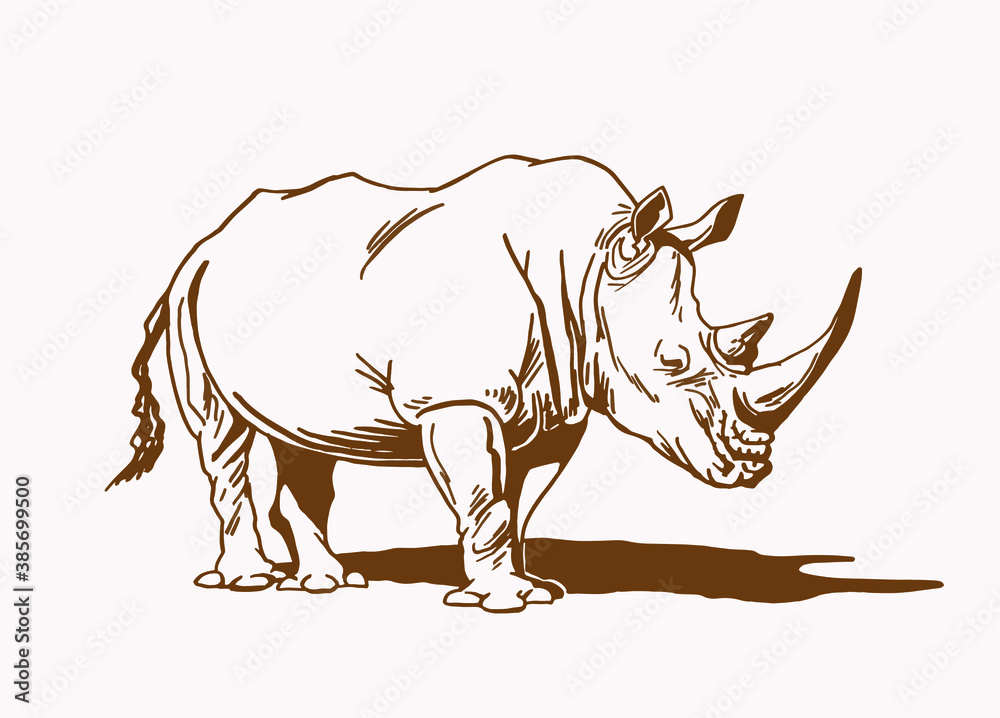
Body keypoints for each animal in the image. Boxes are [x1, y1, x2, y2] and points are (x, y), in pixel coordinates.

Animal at [108, 154, 860, 612]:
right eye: (672, 363)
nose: (753, 468)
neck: (588, 267)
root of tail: (208, 240)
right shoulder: (456, 401)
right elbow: (484, 498)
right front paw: (501, 601)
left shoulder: (557, 407)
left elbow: (519, 500)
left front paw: (533, 586)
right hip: (190, 297)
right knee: (223, 436)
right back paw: (249, 581)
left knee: (303, 445)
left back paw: (330, 583)